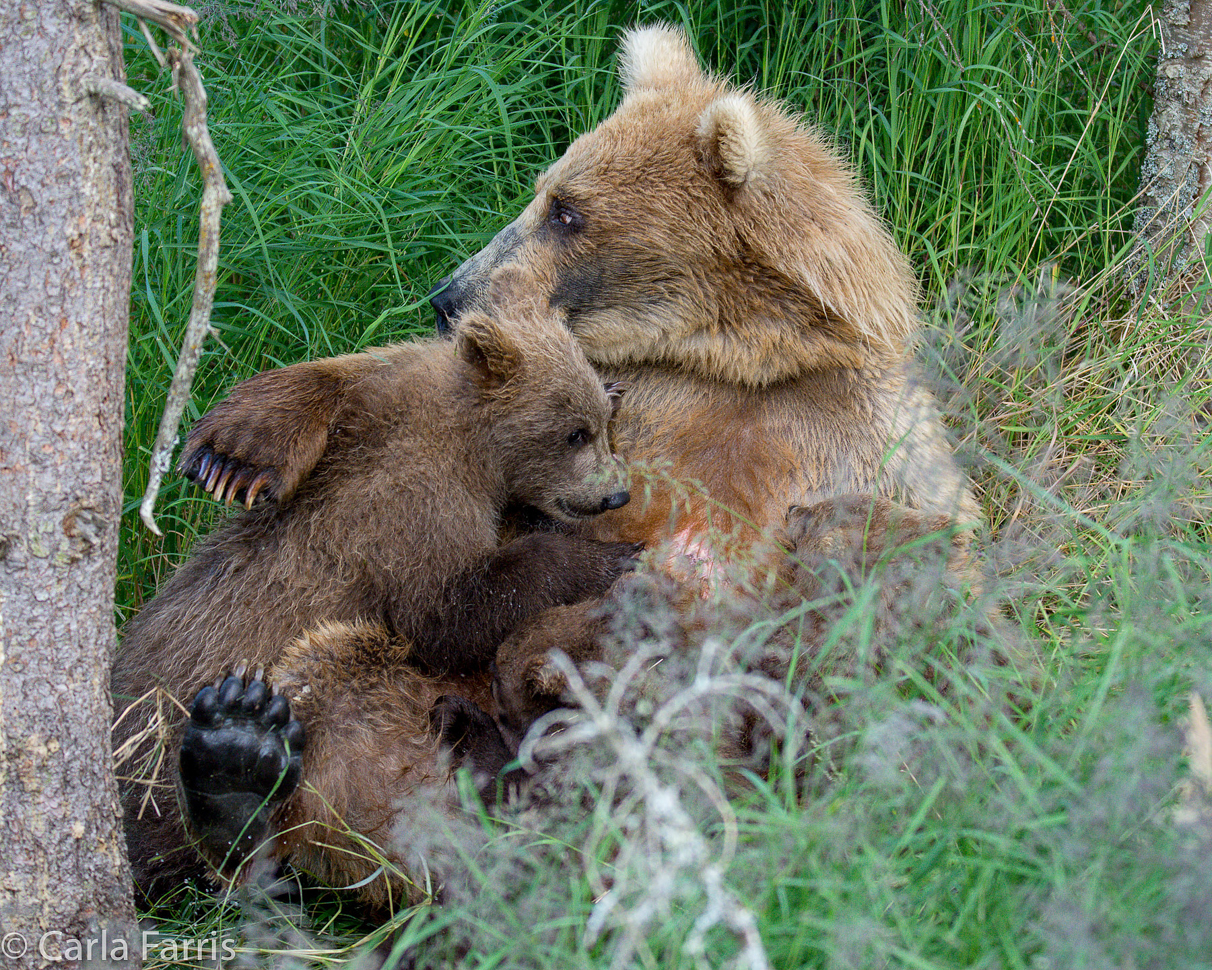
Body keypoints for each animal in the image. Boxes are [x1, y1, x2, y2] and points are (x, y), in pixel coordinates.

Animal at [112, 278, 639, 911]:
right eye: (574, 431)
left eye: (600, 423)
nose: (616, 495)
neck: (474, 451)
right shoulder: (411, 509)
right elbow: (450, 614)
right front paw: (606, 557)